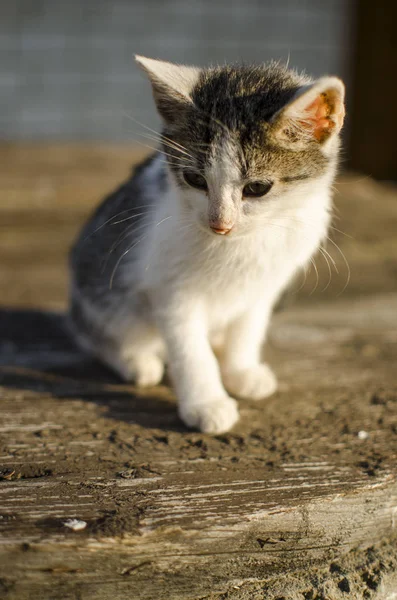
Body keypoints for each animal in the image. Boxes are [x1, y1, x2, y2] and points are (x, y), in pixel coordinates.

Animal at [69, 55, 344, 432]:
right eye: (194, 179)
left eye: (257, 188)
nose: (220, 224)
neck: (244, 244)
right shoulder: (170, 290)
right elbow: (189, 350)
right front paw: (206, 403)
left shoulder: (266, 284)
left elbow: (249, 326)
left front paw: (241, 370)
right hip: (103, 292)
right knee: (95, 331)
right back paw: (135, 361)